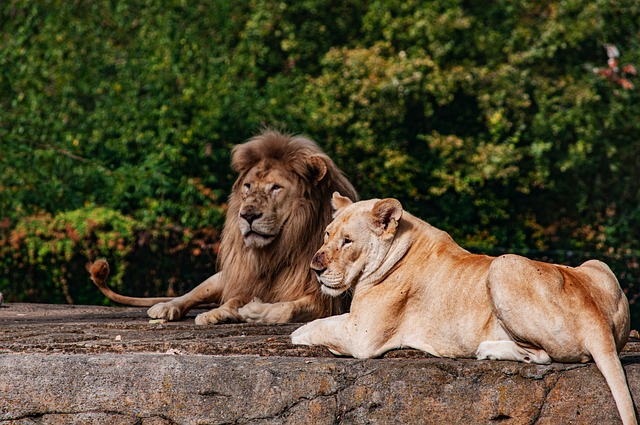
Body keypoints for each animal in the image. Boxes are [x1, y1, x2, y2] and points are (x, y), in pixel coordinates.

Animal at [90, 131, 358, 322]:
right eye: (248, 186)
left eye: (276, 187)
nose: (247, 215)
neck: (279, 249)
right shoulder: (246, 279)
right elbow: (233, 300)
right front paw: (217, 314)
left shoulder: (324, 301)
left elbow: (284, 309)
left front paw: (251, 312)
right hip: (219, 278)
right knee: (191, 295)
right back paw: (166, 307)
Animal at [294, 193, 636, 424]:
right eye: (327, 234)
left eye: (347, 241)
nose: (315, 268)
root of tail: (595, 318)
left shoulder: (362, 335)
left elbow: (319, 326)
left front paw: (297, 334)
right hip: (597, 264)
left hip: (502, 265)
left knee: (543, 356)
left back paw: (487, 349)